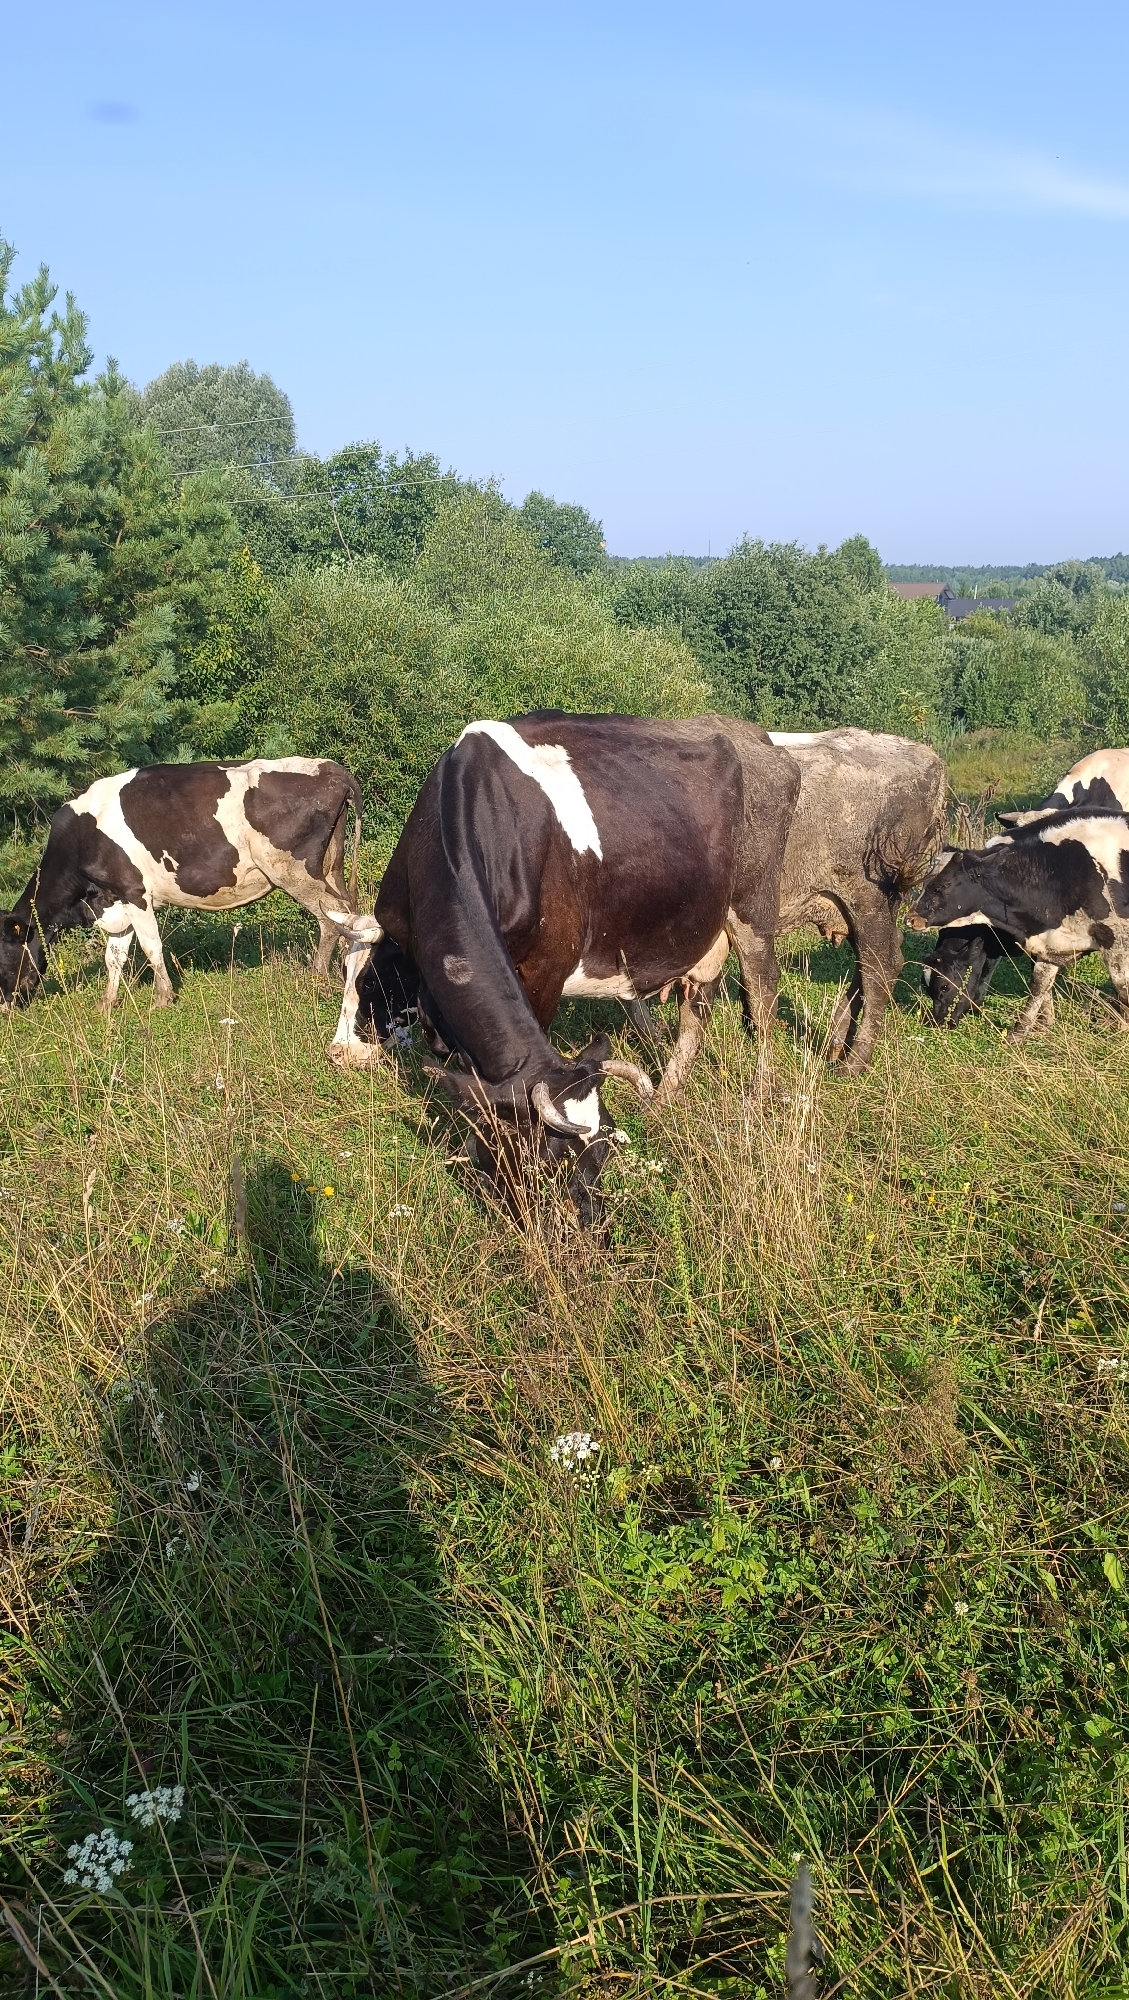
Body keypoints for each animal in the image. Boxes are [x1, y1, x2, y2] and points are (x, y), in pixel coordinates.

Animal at [0, 759, 362, 1011]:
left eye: (2, 957)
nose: (6, 1007)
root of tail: (332, 768)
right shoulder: (114, 899)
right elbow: (114, 957)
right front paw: (107, 1004)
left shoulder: (134, 892)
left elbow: (151, 947)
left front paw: (162, 999)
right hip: (330, 868)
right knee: (349, 914)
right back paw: (351, 973)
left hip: (294, 872)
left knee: (330, 917)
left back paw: (317, 976)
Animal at [328, 712, 801, 1221]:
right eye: (357, 978)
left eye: (603, 1154)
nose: (589, 1221)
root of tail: (754, 735)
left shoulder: (546, 970)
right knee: (696, 1012)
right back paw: (665, 1100)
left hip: (753, 908)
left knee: (763, 997)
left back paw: (759, 1097)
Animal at [764, 729, 947, 1071]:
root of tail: (931, 759)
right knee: (880, 957)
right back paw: (838, 1040)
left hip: (867, 898)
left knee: (880, 966)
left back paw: (855, 1061)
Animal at [909, 809, 1129, 1041]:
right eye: (927, 989)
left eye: (943, 886)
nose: (911, 918)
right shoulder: (1049, 943)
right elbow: (1039, 987)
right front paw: (1024, 1032)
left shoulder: (1116, 939)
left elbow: (1122, 988)